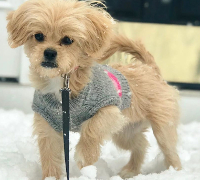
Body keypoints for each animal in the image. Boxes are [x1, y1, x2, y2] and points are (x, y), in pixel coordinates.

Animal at [6, 0, 182, 179]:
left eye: (68, 40)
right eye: (38, 36)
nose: (49, 52)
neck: (63, 82)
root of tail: (150, 68)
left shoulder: (108, 110)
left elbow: (93, 128)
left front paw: (85, 155)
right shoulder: (47, 124)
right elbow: (49, 155)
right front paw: (51, 177)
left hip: (162, 129)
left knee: (170, 152)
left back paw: (175, 171)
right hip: (126, 132)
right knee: (141, 144)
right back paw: (131, 170)